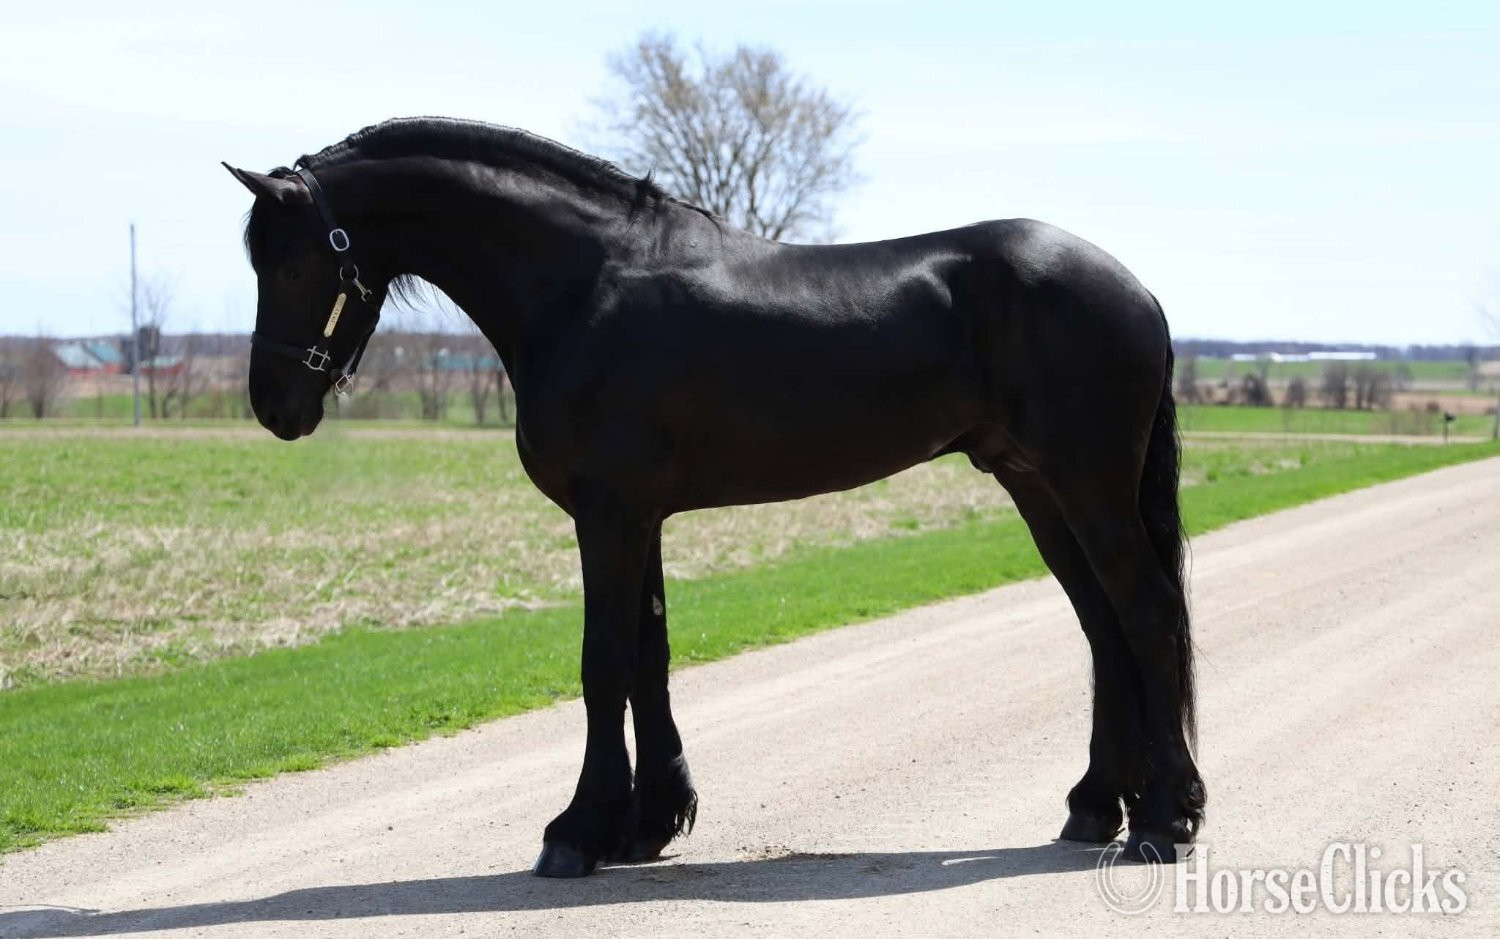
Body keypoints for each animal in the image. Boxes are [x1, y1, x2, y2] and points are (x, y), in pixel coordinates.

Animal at [225, 116, 1205, 878]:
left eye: (297, 262)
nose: (274, 406)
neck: (585, 285)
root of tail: (1139, 290)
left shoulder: (608, 515)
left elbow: (603, 663)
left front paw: (576, 832)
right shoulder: (636, 517)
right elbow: (648, 657)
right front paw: (648, 822)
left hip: (1087, 488)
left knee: (1147, 614)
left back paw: (1166, 817)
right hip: (1037, 488)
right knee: (1104, 628)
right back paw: (1096, 805)